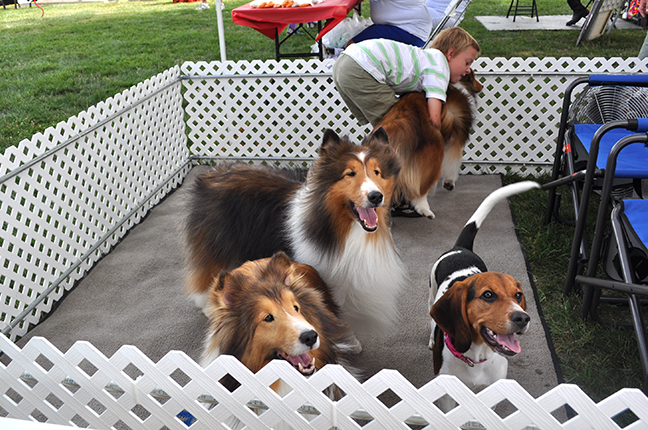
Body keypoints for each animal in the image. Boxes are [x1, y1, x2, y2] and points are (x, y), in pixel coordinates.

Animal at [185, 127, 408, 340]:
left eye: (377, 172)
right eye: (350, 173)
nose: (376, 196)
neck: (342, 230)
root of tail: (215, 171)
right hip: (216, 244)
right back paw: (209, 307)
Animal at [372, 71, 484, 218]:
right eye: (473, 76)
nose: (482, 86)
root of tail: (398, 125)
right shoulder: (455, 138)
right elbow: (453, 163)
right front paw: (449, 183)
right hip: (433, 155)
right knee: (419, 189)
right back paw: (424, 209)